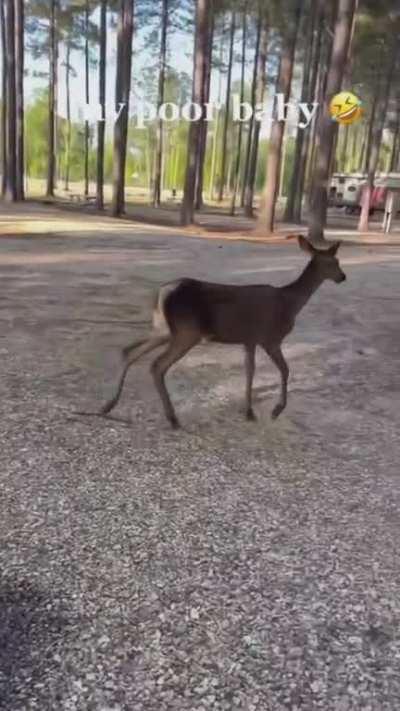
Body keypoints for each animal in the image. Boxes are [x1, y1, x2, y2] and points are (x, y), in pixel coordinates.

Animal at [100, 236, 346, 428]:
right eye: (331, 263)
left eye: (337, 261)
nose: (342, 277)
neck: (289, 303)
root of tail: (162, 292)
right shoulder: (270, 338)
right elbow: (285, 370)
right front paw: (276, 410)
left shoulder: (250, 339)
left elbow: (249, 372)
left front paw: (248, 411)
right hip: (188, 332)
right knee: (156, 365)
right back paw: (172, 418)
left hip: (163, 328)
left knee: (128, 350)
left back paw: (109, 405)